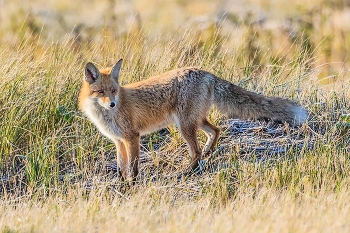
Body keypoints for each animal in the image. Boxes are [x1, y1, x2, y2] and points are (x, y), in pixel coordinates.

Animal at [78, 58, 306, 180]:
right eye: (100, 92)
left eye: (113, 91)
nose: (112, 104)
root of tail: (205, 73)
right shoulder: (119, 140)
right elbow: (121, 165)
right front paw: (122, 182)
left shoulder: (132, 137)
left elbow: (133, 167)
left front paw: (131, 184)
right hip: (195, 120)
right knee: (216, 130)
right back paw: (208, 152)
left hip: (185, 126)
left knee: (195, 151)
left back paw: (186, 171)